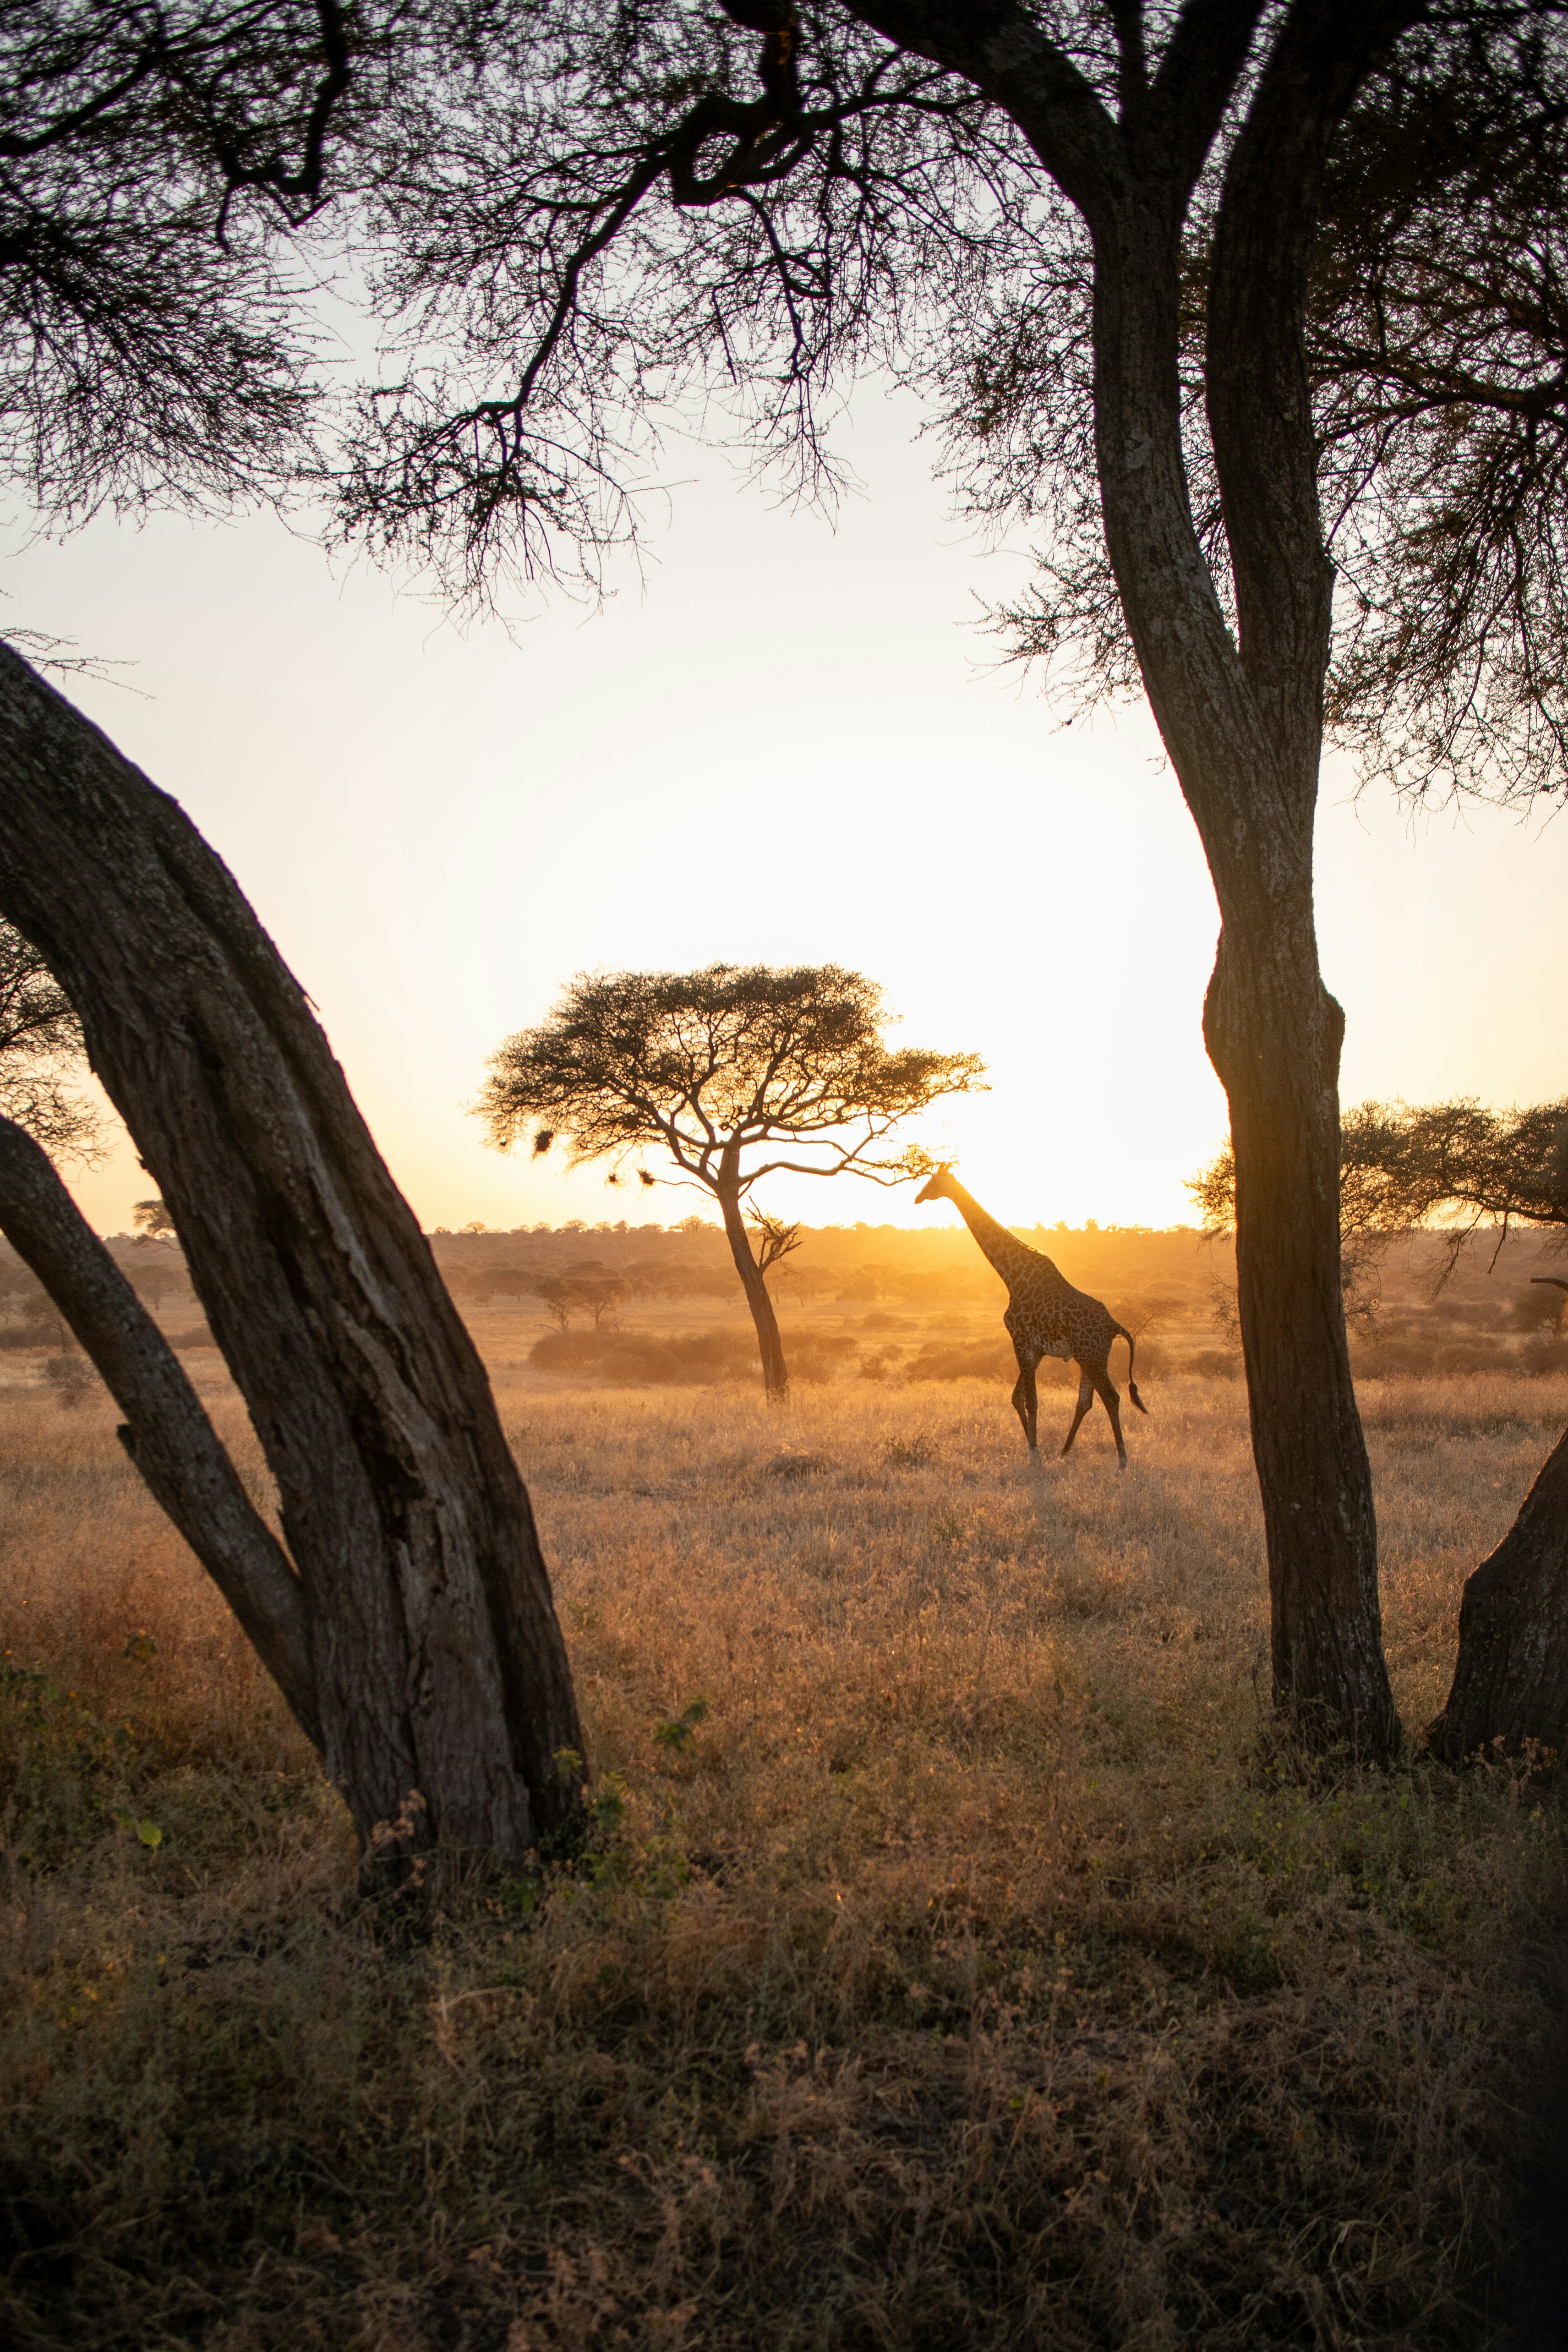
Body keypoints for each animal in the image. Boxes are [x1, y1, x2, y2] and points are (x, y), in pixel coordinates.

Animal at [915, 1164, 1147, 1466]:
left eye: (932, 1182)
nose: (918, 1198)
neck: (1011, 1276)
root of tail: (1114, 1326)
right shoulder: (1035, 1349)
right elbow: (1018, 1397)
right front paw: (1034, 1449)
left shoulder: (1021, 1340)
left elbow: (1031, 1400)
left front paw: (1035, 1455)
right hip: (1089, 1357)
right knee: (1086, 1402)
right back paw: (1063, 1453)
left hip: (1092, 1355)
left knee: (1112, 1397)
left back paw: (1122, 1462)